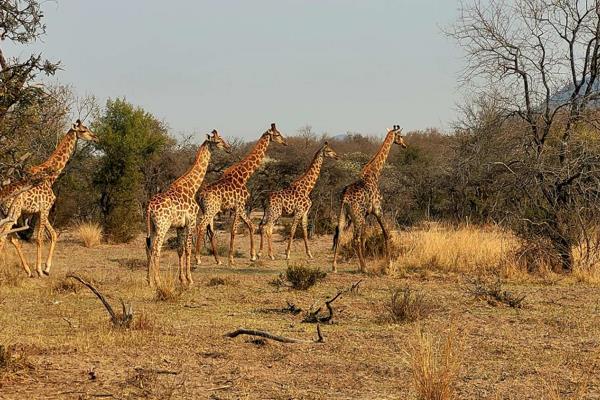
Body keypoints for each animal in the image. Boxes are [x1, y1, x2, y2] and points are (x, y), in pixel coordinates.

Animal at [0, 120, 97, 276]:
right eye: (83, 130)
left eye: (87, 128)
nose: (96, 137)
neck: (51, 177)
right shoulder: (45, 209)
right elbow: (39, 238)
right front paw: (39, 270)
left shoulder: (39, 211)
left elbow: (53, 234)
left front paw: (46, 268)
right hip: (13, 214)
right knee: (3, 236)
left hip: (7, 214)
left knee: (12, 238)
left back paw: (27, 270)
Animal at [145, 130, 230, 290]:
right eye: (218, 141)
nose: (229, 148)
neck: (192, 187)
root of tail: (149, 207)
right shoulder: (191, 221)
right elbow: (188, 249)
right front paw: (190, 280)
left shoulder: (180, 226)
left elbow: (180, 250)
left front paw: (182, 279)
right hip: (162, 226)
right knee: (156, 249)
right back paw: (158, 282)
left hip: (151, 226)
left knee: (148, 247)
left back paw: (149, 281)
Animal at [192, 122, 286, 266]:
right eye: (277, 134)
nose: (285, 142)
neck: (244, 175)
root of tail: (200, 195)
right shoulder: (238, 206)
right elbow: (234, 230)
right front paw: (231, 259)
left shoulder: (241, 207)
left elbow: (251, 226)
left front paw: (253, 256)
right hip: (210, 210)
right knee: (201, 226)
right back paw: (197, 258)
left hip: (207, 210)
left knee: (209, 230)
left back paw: (217, 260)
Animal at [330, 126, 406, 274]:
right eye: (400, 136)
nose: (405, 145)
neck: (374, 173)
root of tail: (345, 198)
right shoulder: (377, 209)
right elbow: (386, 233)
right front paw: (389, 265)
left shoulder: (366, 214)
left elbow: (365, 237)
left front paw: (361, 264)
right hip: (357, 216)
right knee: (354, 238)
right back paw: (365, 268)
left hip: (344, 213)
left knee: (340, 234)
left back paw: (334, 266)